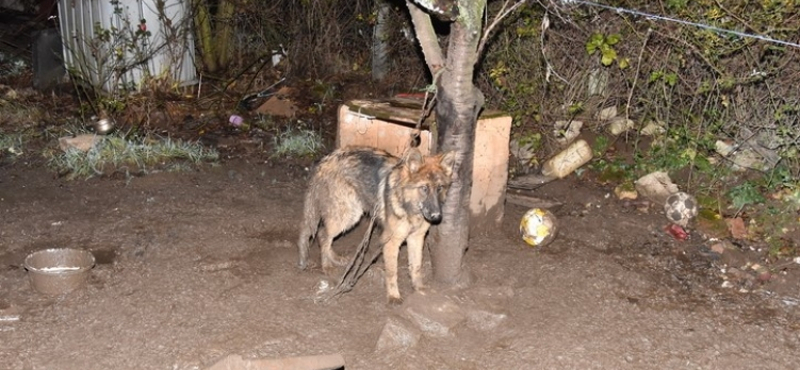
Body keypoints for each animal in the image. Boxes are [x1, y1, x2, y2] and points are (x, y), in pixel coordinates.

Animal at [296, 145, 456, 304]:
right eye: (424, 188)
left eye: (440, 187)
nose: (436, 216)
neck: (408, 206)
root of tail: (325, 159)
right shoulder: (391, 241)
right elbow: (392, 272)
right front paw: (393, 295)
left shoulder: (416, 238)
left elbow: (416, 266)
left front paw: (419, 289)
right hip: (347, 215)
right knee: (323, 235)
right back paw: (327, 266)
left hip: (350, 215)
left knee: (324, 235)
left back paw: (334, 258)